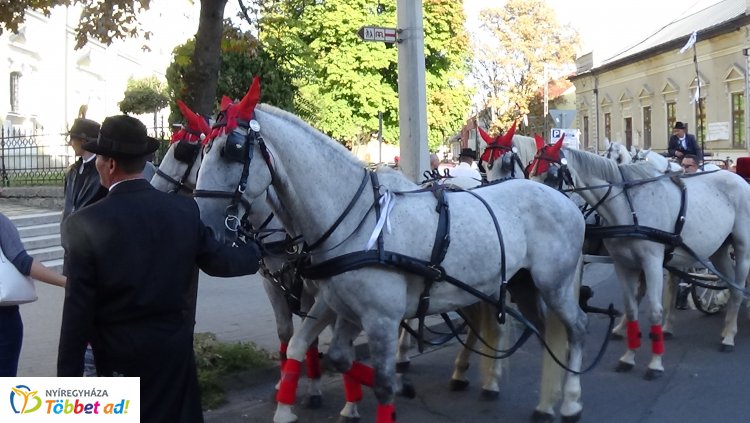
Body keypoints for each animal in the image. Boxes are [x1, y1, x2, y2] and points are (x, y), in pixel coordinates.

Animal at [151, 98, 326, 408]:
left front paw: (314, 388)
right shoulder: (271, 283)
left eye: (184, 153)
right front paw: (284, 382)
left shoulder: (309, 286)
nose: (153, 186)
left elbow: (311, 335)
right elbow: (285, 332)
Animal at [195, 79, 592, 423]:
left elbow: (382, 384)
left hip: (553, 286)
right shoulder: (345, 310)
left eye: (232, 150)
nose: (204, 227)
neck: (357, 221)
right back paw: (544, 402)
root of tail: (564, 202)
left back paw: (571, 400)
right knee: (545, 331)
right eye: (202, 150)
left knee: (575, 328)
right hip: (521, 285)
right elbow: (334, 357)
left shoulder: (381, 319)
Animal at [528, 142, 750, 380]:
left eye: (551, 176)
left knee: (738, 288)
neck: (629, 207)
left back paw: (729, 337)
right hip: (718, 250)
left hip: (742, 249)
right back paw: (724, 328)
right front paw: (628, 357)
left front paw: (655, 363)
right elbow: (632, 307)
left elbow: (654, 310)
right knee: (728, 283)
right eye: (530, 170)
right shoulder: (623, 265)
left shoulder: (652, 262)